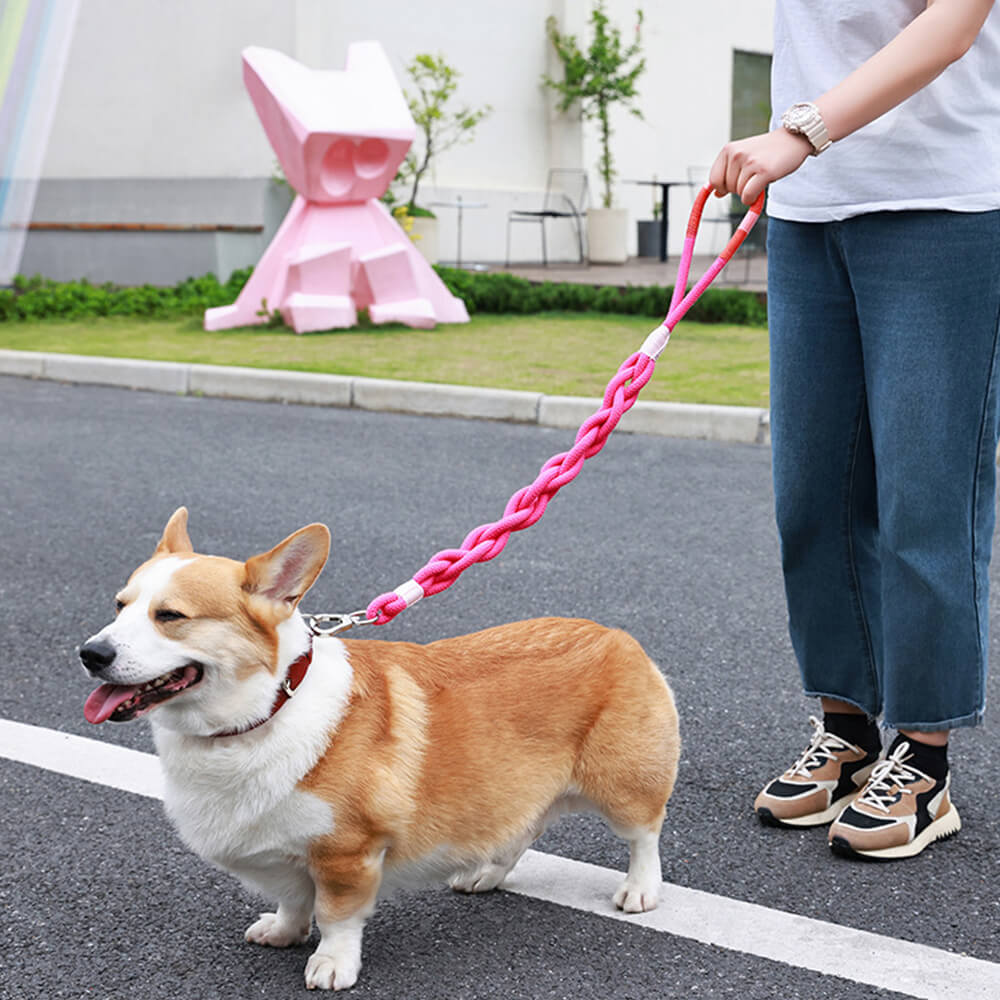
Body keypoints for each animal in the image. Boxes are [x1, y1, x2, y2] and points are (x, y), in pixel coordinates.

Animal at [82, 508, 684, 992]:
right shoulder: (287, 851)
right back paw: (485, 874)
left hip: (624, 785)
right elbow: (294, 899)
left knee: (643, 835)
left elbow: (336, 916)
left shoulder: (348, 852)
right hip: (511, 786)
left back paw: (639, 890)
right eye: (119, 605)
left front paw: (332, 965)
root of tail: (616, 635)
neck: (266, 710)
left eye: (171, 616)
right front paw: (284, 931)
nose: (90, 653)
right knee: (520, 829)